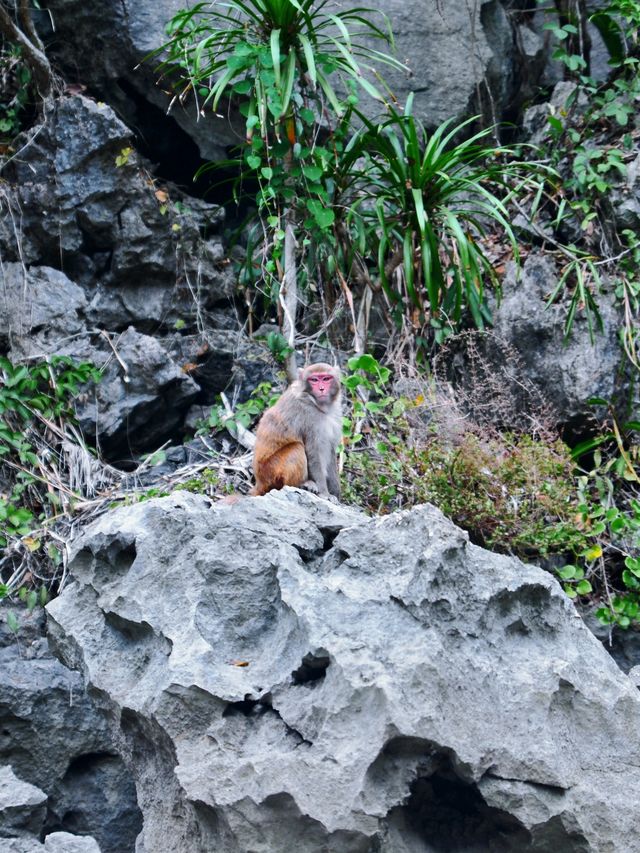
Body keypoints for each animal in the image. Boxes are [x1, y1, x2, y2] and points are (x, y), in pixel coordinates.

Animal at [251, 362, 342, 500]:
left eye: (326, 378)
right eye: (314, 380)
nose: (321, 388)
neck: (316, 404)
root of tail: (259, 482)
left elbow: (330, 450)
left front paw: (335, 492)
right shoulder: (309, 419)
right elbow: (314, 452)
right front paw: (325, 493)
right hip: (270, 471)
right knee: (296, 448)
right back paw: (302, 484)